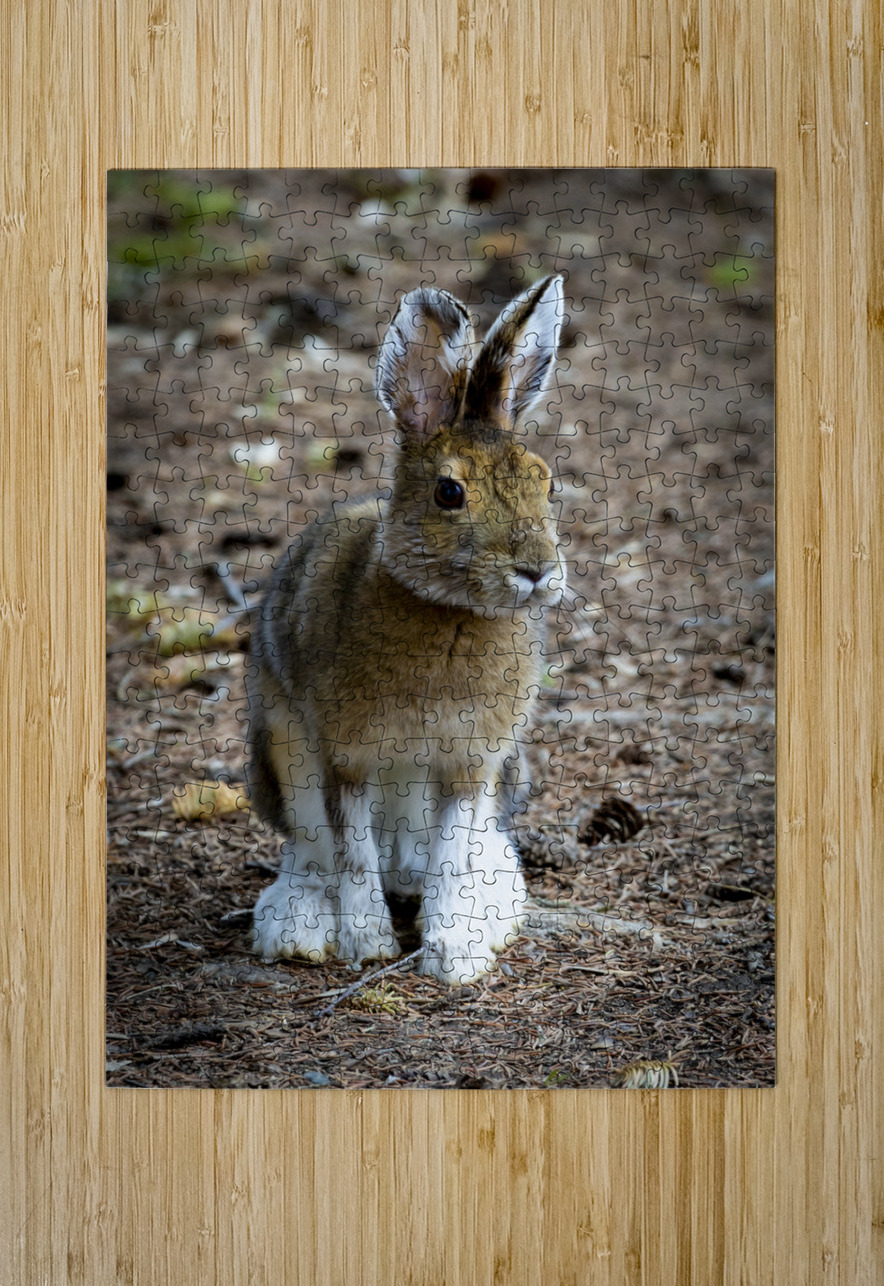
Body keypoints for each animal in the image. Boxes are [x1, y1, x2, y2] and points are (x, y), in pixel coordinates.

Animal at [246, 274, 567, 985]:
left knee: (468, 856)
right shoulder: (345, 757)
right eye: (450, 493)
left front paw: (455, 956)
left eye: (546, 483)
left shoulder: (470, 764)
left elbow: (450, 859)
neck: (449, 612)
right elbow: (354, 856)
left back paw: (491, 911)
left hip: (507, 776)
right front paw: (368, 943)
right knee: (315, 856)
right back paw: (299, 929)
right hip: (282, 756)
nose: (536, 570)